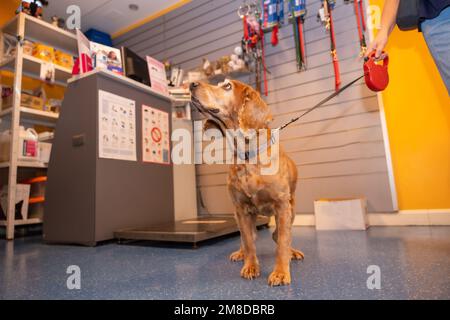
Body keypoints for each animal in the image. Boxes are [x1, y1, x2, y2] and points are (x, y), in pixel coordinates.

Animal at [190, 79, 302, 284]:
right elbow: (249, 242)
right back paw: (241, 253)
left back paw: (293, 252)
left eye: (227, 86)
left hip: (292, 207)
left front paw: (281, 272)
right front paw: (250, 266)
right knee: (248, 236)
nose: (192, 84)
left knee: (280, 235)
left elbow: (282, 240)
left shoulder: (282, 206)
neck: (248, 155)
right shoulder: (241, 209)